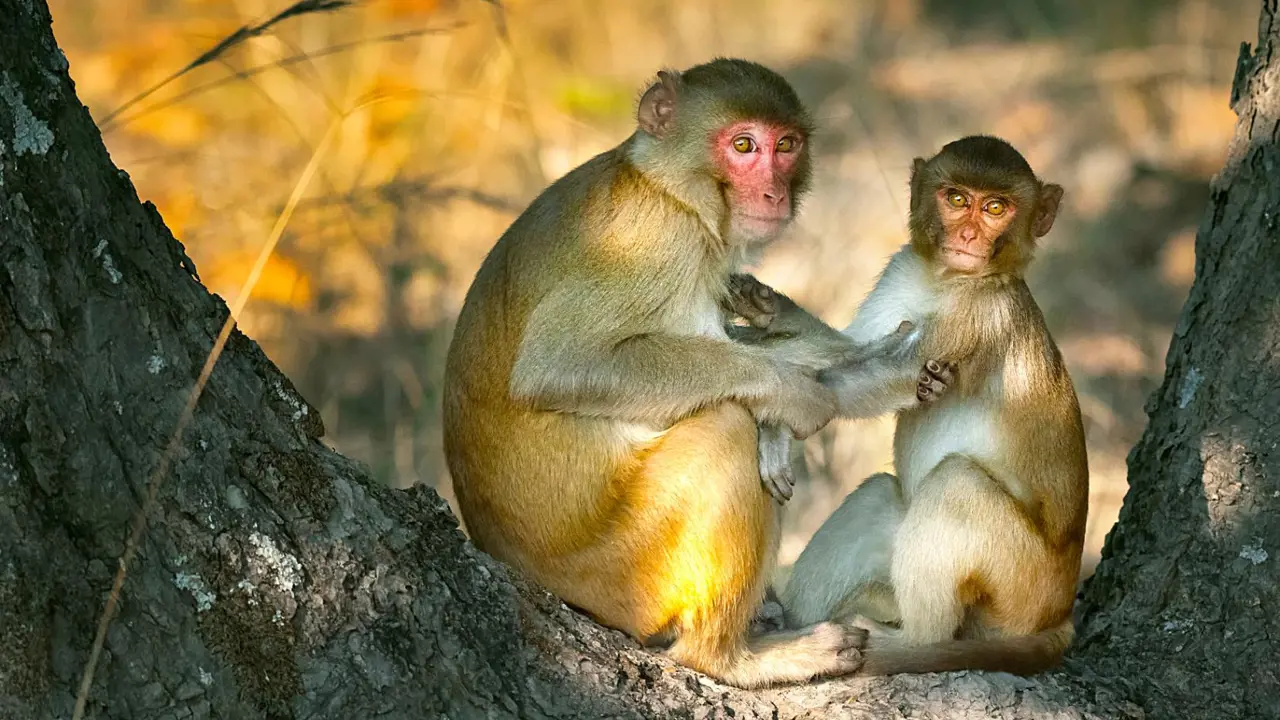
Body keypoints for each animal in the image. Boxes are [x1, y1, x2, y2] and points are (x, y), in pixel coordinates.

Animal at [440, 57, 942, 681]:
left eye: (787, 145)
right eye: (744, 145)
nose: (774, 191)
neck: (669, 190)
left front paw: (874, 377)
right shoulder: (648, 243)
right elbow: (559, 366)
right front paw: (791, 396)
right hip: (623, 574)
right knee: (724, 427)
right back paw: (731, 657)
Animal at [742, 133, 1090, 671]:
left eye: (995, 207)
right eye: (956, 198)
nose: (967, 235)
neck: (948, 279)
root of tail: (1059, 617)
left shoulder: (980, 313)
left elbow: (898, 375)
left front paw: (776, 427)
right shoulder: (902, 268)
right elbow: (853, 348)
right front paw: (773, 311)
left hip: (1018, 589)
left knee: (956, 483)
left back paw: (909, 643)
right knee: (878, 495)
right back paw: (791, 627)